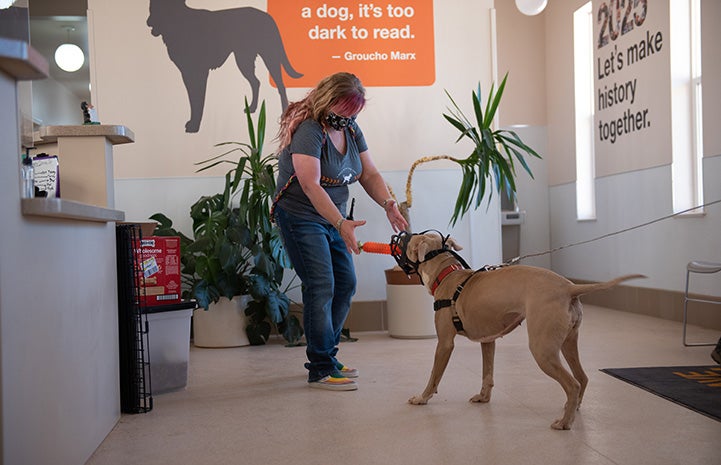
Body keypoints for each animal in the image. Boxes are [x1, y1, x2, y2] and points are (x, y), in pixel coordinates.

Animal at [402, 230, 644, 430]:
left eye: (411, 238)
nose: (402, 233)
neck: (449, 276)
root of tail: (568, 288)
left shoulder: (444, 344)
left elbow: (434, 376)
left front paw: (422, 398)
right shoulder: (488, 341)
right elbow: (487, 374)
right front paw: (483, 397)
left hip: (542, 350)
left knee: (573, 384)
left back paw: (564, 422)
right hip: (567, 343)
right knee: (582, 378)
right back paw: (572, 408)